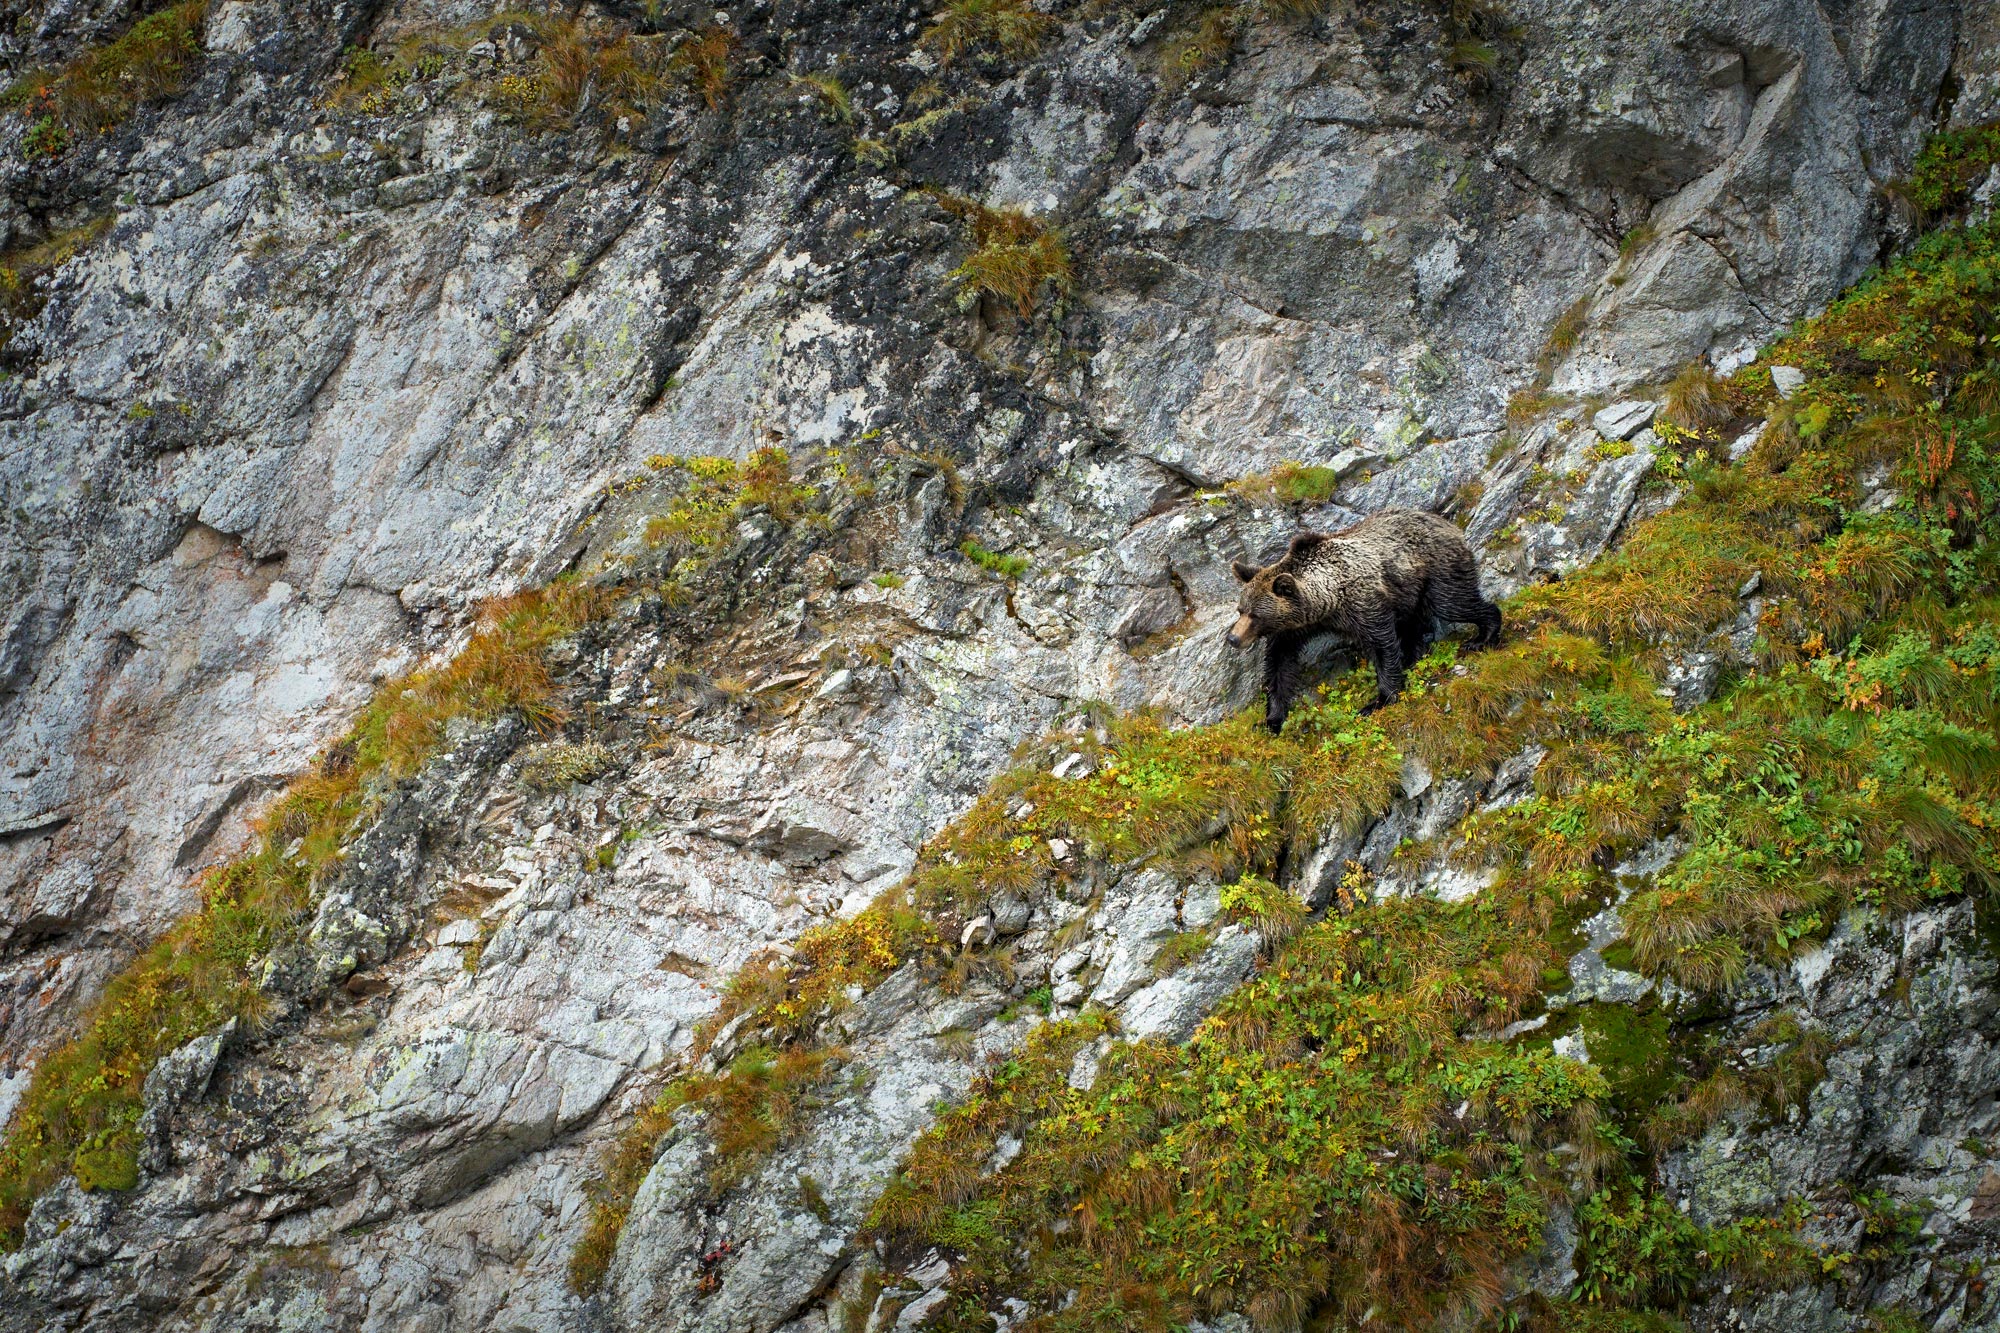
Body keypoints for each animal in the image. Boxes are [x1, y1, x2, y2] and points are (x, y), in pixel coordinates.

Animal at [1216, 504, 1504, 728]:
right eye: (1241, 610)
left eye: (1255, 615)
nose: (1233, 638)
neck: (1328, 601)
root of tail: (1447, 523)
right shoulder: (1293, 629)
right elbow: (1279, 664)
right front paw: (1272, 719)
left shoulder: (1364, 604)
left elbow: (1382, 645)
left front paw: (1378, 700)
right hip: (1409, 591)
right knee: (1414, 624)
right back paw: (1413, 656)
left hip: (1435, 570)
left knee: (1453, 602)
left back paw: (1482, 636)